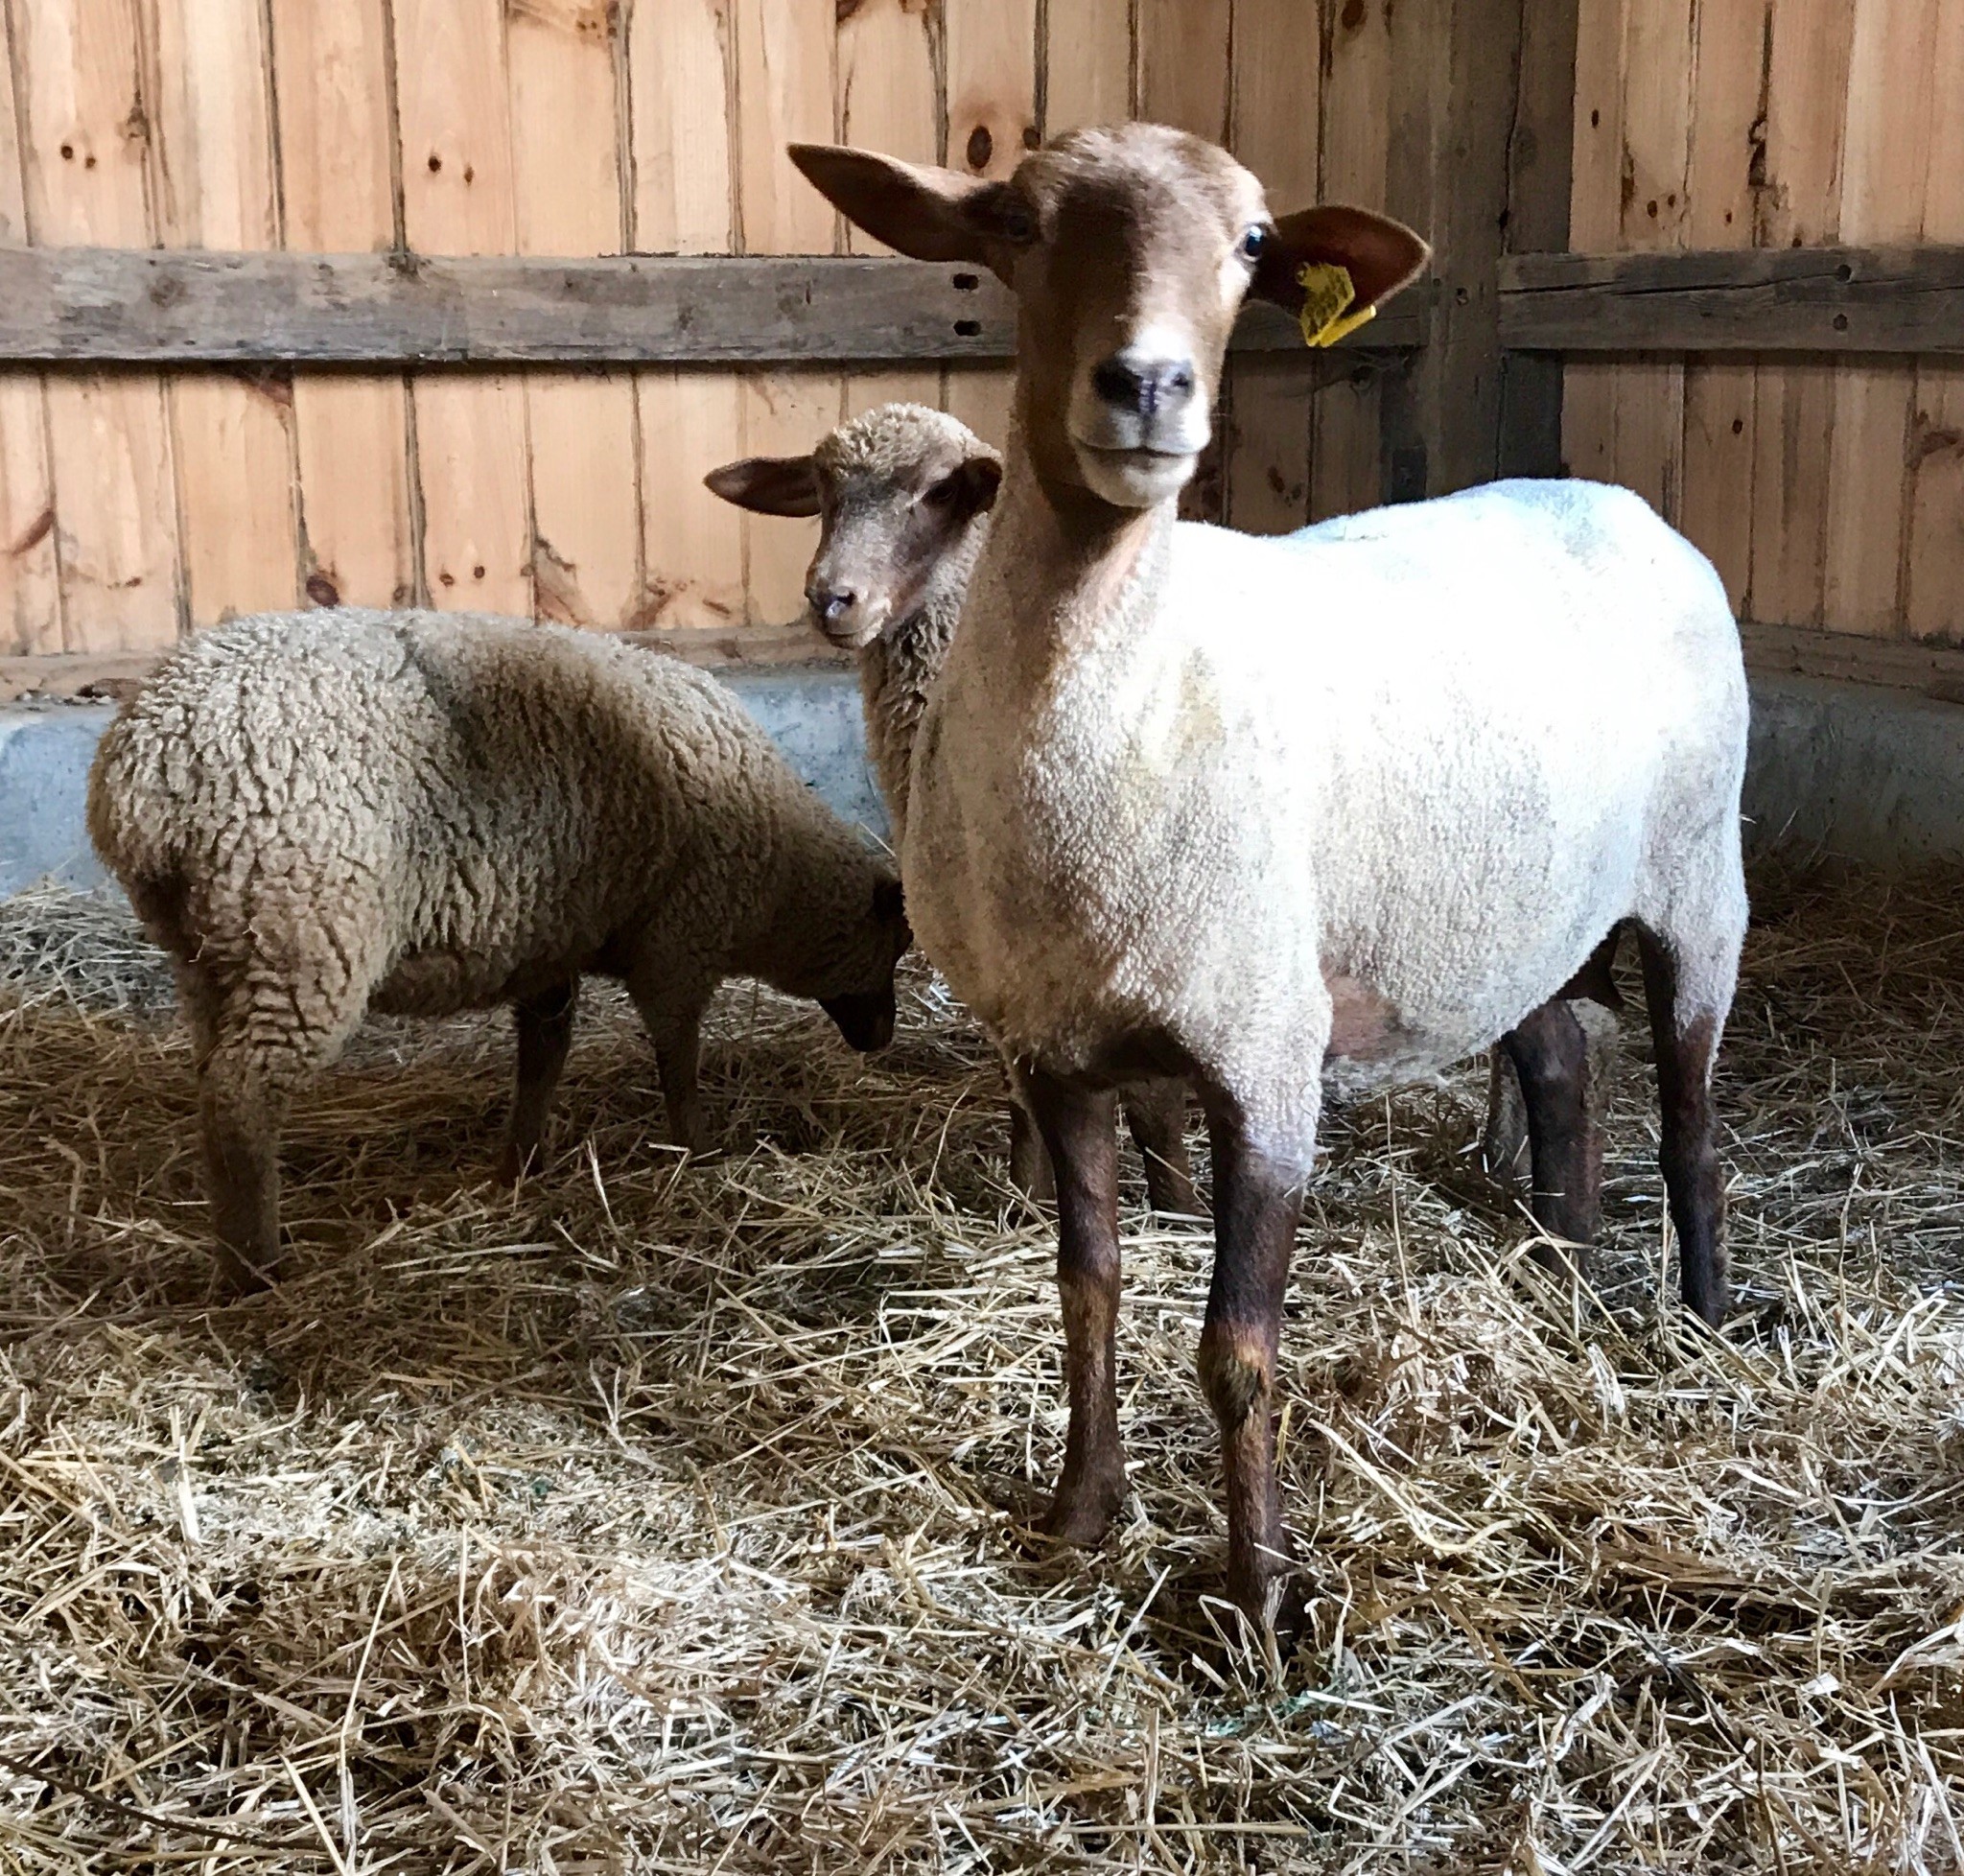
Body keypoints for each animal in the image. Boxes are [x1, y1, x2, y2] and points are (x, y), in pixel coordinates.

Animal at [88, 607, 913, 1293]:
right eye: (897, 949)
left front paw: (519, 1165)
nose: (883, 1040)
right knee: (242, 1098)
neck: (780, 884)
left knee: (213, 1085)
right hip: (304, 938)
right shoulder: (678, 944)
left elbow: (543, 1057)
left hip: (212, 955)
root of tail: (143, 778)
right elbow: (677, 1059)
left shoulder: (549, 949)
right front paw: (701, 1153)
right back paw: (257, 1268)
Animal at [705, 402, 1200, 1217]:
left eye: (941, 491)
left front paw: (1178, 1213)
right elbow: (1023, 1087)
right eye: (822, 487)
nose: (831, 597)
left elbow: (1156, 1100)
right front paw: (1025, 1203)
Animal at [788, 125, 1750, 1623]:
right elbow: (1087, 1289)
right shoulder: (1050, 1049)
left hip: (1702, 875)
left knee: (1693, 1115)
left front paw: (1259, 1595)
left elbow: (1236, 1350)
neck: (1121, 684)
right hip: (1504, 909)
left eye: (1252, 245)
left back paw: (1697, 1322)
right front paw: (1079, 1515)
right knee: (1563, 1067)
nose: (1147, 386)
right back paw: (1563, 1267)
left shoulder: (1265, 1055)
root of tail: (1619, 500)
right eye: (1016, 222)